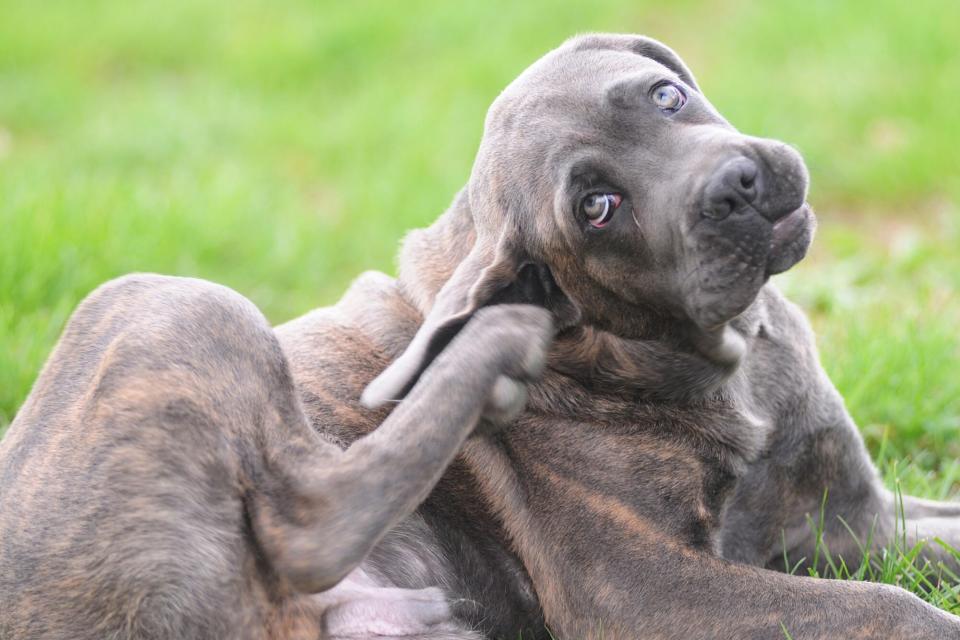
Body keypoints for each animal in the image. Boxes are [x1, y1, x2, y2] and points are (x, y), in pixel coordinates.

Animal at [1, 33, 960, 640]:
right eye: (597, 206)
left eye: (666, 96)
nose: (736, 186)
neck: (722, 359)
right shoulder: (644, 591)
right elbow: (888, 608)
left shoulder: (849, 517)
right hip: (168, 304)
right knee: (311, 521)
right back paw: (490, 343)